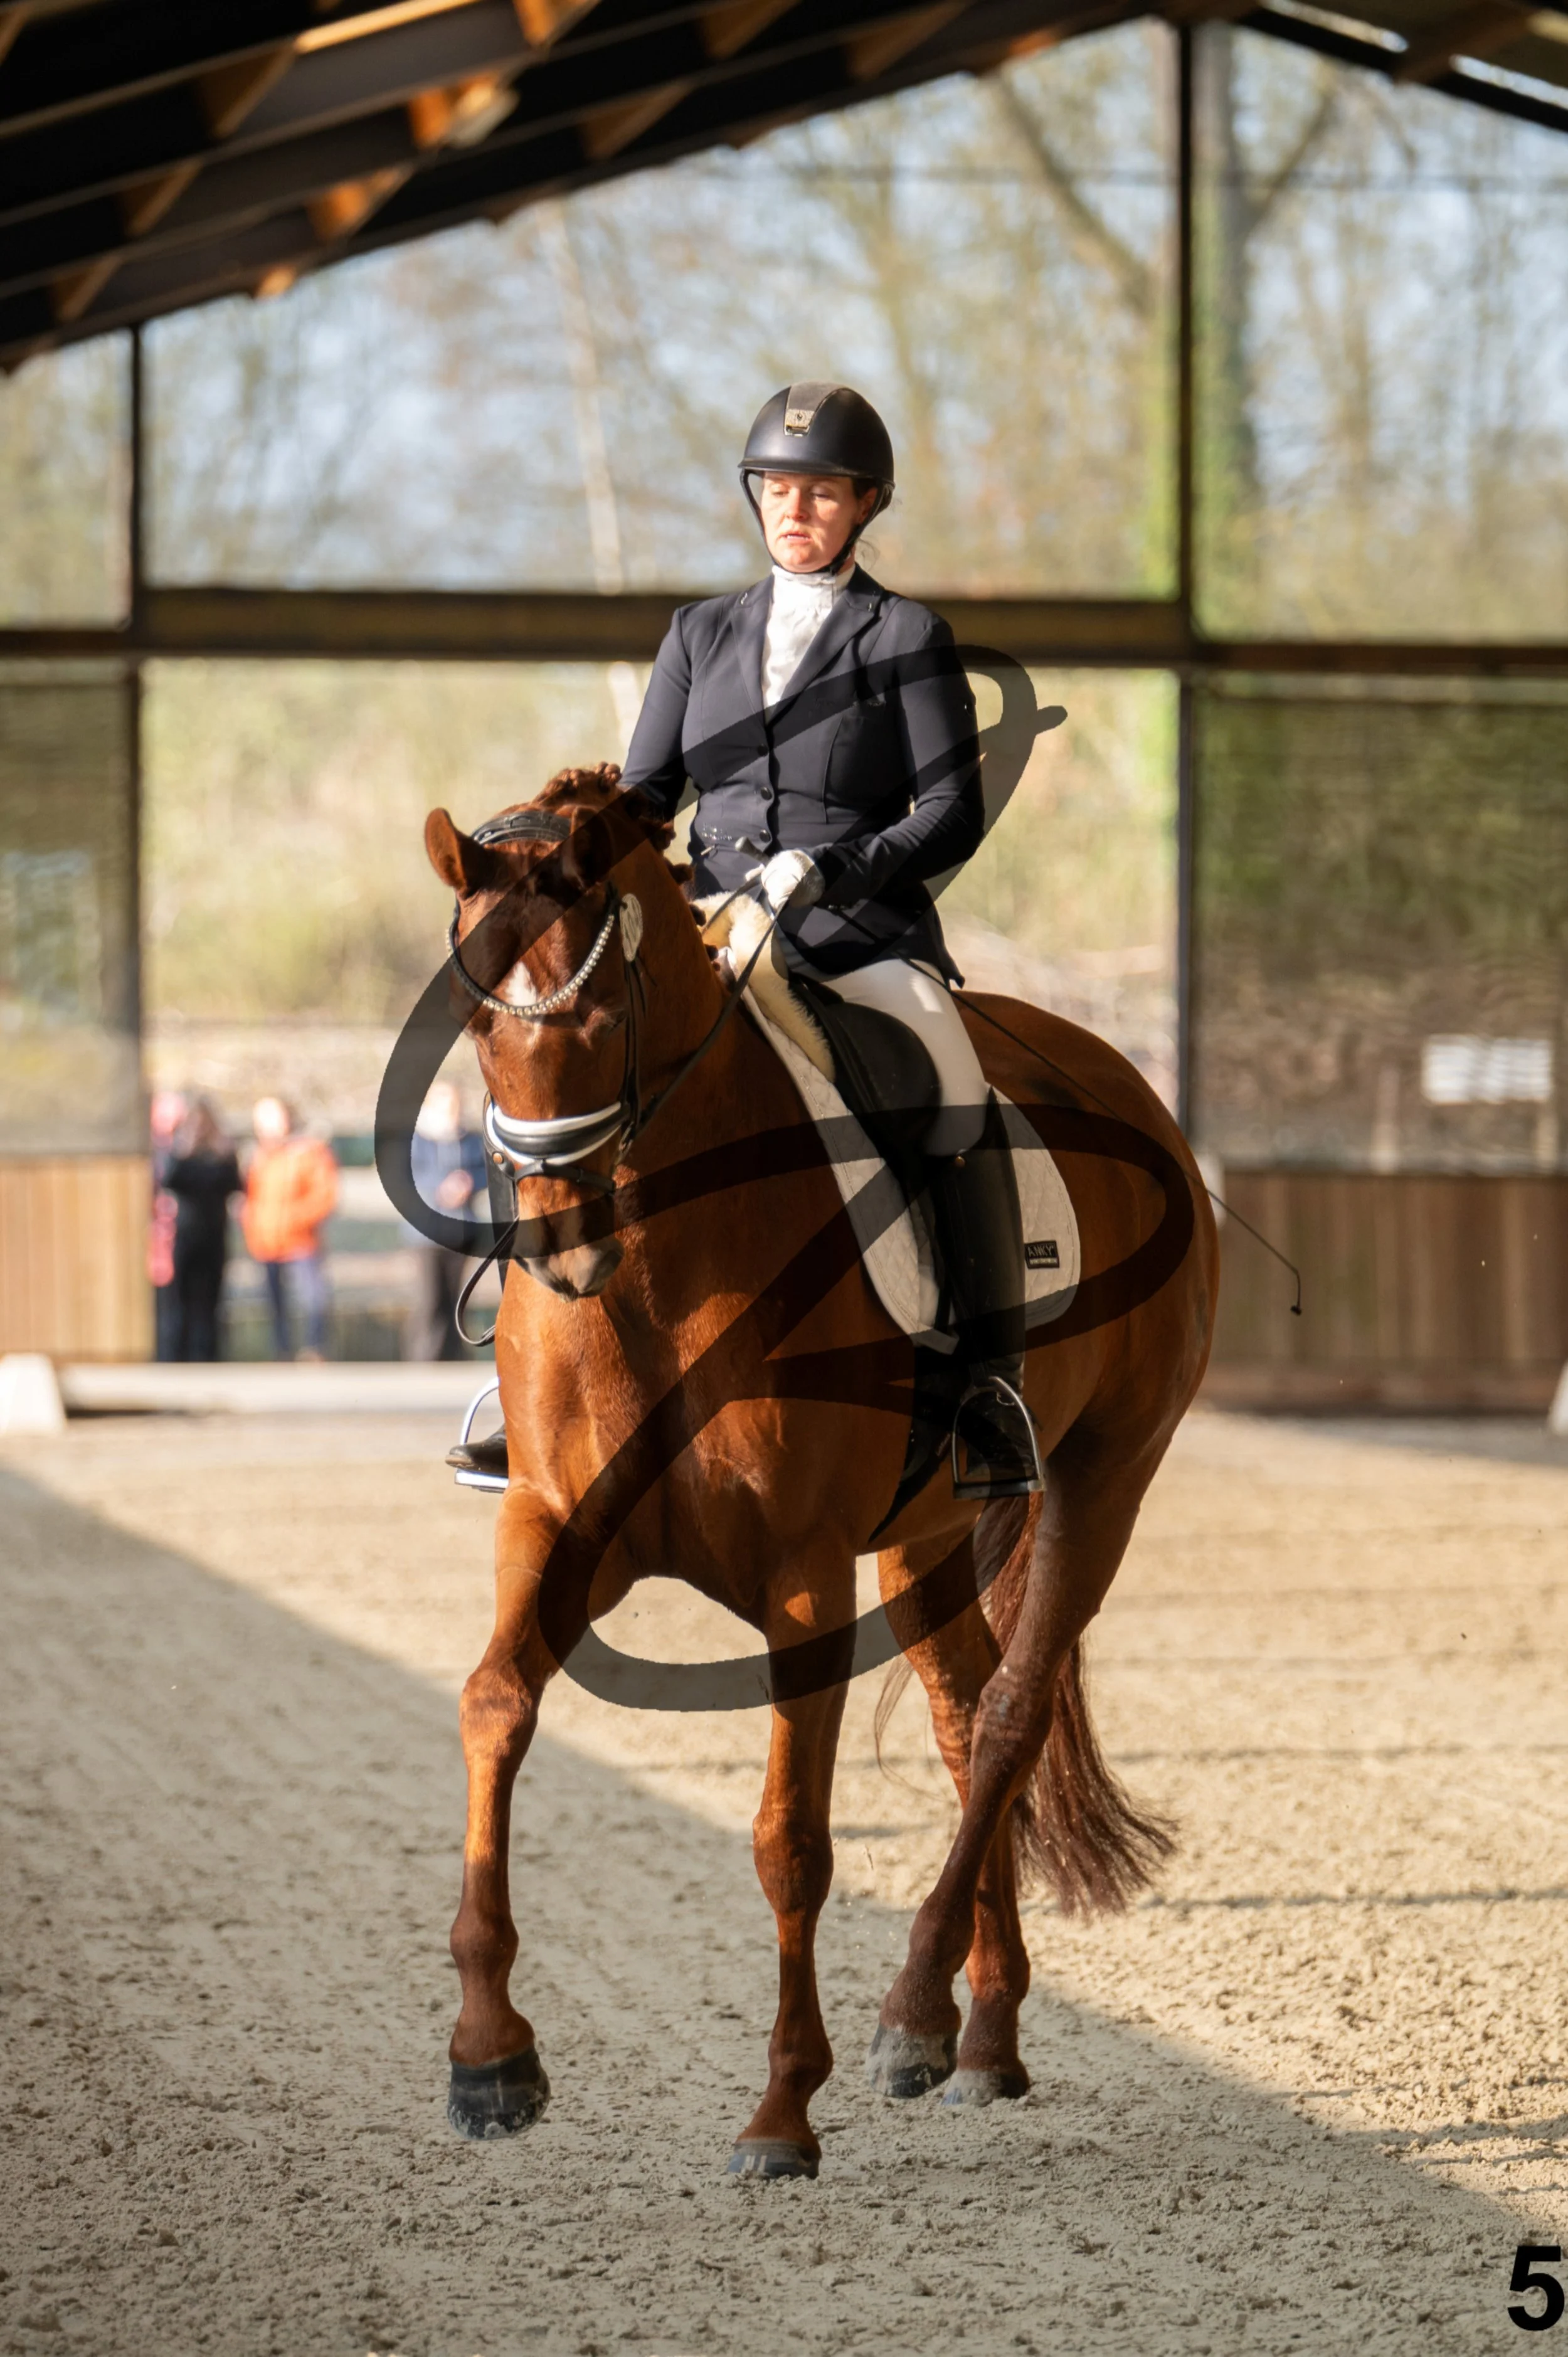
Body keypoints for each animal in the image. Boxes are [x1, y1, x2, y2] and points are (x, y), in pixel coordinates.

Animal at [423, 762, 1219, 2177]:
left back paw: (913, 2010)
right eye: (470, 1013)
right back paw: (979, 2033)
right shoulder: (559, 1526)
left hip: (1104, 1480)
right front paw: (489, 2059)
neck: (655, 1255)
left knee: (1010, 1713)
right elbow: (492, 1706)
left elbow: (789, 1839)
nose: (558, 1250)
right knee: (965, 1719)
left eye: (607, 1007)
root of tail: (1129, 1087)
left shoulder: (801, 1577)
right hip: (923, 1536)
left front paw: (782, 2111)